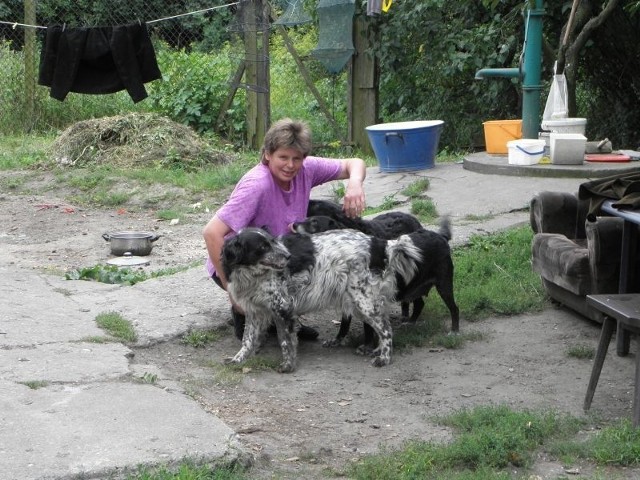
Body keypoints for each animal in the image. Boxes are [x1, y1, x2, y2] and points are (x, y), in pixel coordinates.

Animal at [220, 228, 424, 372]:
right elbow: (247, 340)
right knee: (381, 327)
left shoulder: (283, 308)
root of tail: (379, 243)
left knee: (386, 329)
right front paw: (238, 359)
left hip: (363, 300)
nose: (288, 256)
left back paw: (384, 358)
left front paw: (288, 365)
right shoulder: (255, 311)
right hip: (359, 302)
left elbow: (285, 341)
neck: (252, 275)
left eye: (272, 241)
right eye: (263, 246)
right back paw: (377, 350)